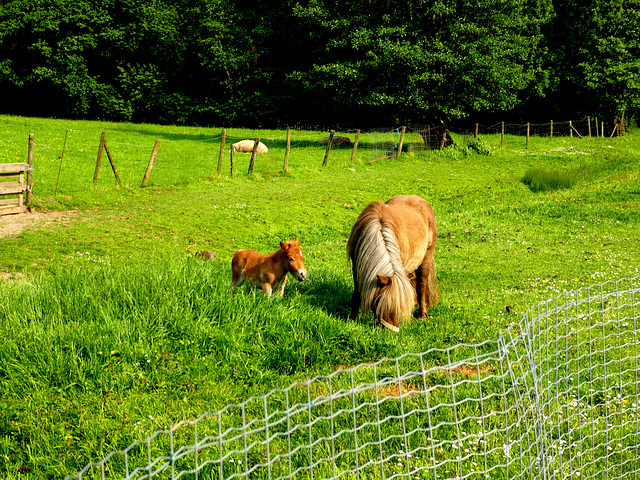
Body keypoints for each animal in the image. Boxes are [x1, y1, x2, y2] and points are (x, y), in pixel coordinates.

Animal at [348, 193, 438, 332]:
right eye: (379, 301)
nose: (392, 331)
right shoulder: (357, 266)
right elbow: (357, 293)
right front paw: (353, 318)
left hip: (426, 258)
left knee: (422, 286)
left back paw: (422, 314)